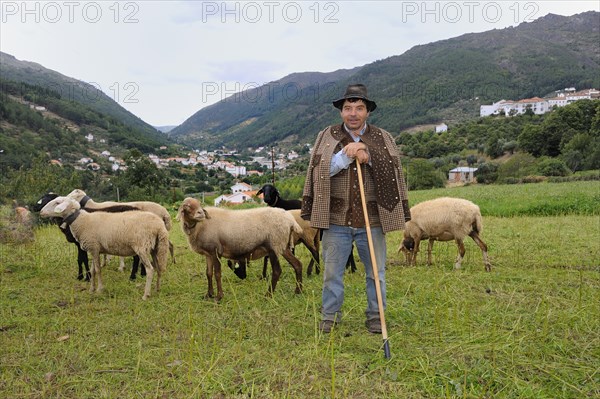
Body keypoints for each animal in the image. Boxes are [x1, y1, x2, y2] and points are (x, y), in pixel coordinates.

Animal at [39, 197, 169, 300]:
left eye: (57, 202)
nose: (41, 212)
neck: (82, 221)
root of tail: (159, 226)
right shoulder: (93, 249)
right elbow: (92, 270)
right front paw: (91, 289)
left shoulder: (94, 247)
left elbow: (98, 270)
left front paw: (99, 289)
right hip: (154, 248)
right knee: (158, 267)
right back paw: (157, 289)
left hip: (142, 247)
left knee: (150, 269)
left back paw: (146, 294)